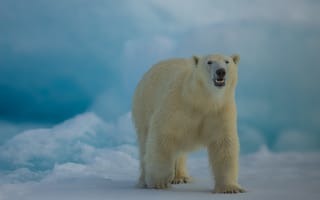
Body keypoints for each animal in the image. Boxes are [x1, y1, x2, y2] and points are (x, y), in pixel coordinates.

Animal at [131, 54, 246, 193]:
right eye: (209, 62)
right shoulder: (176, 106)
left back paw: (181, 177)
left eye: (227, 61)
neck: (201, 100)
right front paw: (159, 182)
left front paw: (230, 188)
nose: (221, 72)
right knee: (145, 143)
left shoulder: (220, 110)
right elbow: (163, 135)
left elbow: (223, 143)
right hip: (144, 105)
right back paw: (144, 180)